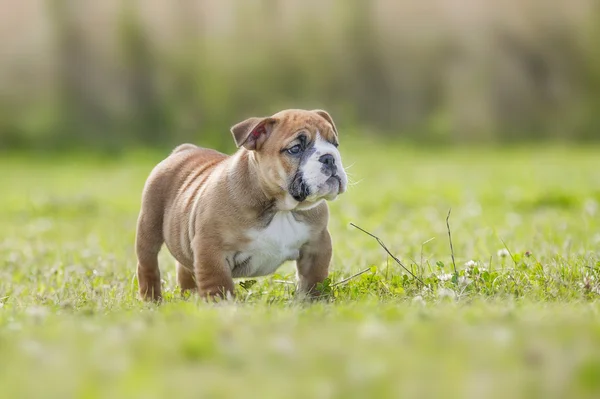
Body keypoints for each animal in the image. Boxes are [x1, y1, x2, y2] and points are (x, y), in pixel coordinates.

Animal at [134, 108, 344, 302]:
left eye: (334, 144)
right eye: (296, 148)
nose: (329, 157)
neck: (280, 208)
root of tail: (184, 149)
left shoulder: (317, 245)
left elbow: (315, 279)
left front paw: (314, 301)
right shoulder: (212, 250)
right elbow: (218, 283)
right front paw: (221, 305)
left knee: (185, 268)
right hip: (149, 226)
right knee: (148, 266)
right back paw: (152, 300)